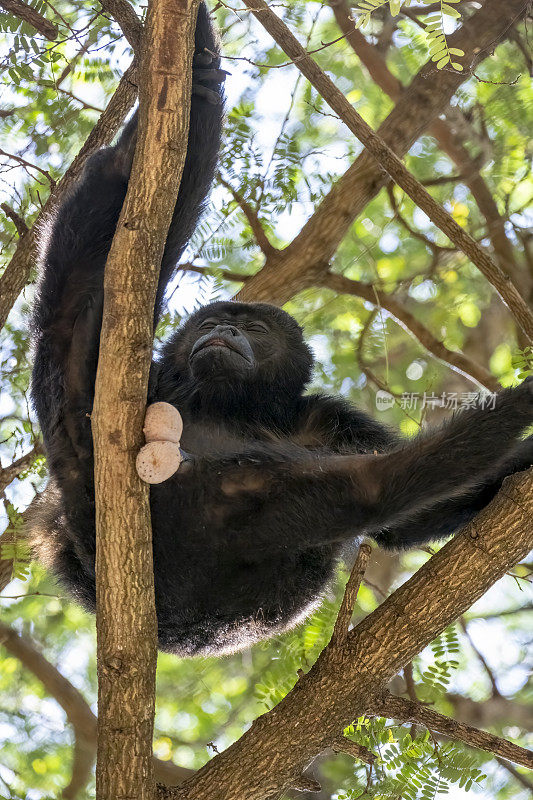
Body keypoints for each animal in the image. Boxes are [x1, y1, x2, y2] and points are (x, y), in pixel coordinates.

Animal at [31, 1, 532, 656]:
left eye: (254, 328)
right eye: (214, 322)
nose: (224, 330)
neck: (236, 404)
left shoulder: (327, 416)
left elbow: (405, 526)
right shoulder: (156, 378)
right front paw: (195, 66)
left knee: (358, 491)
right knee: (74, 300)